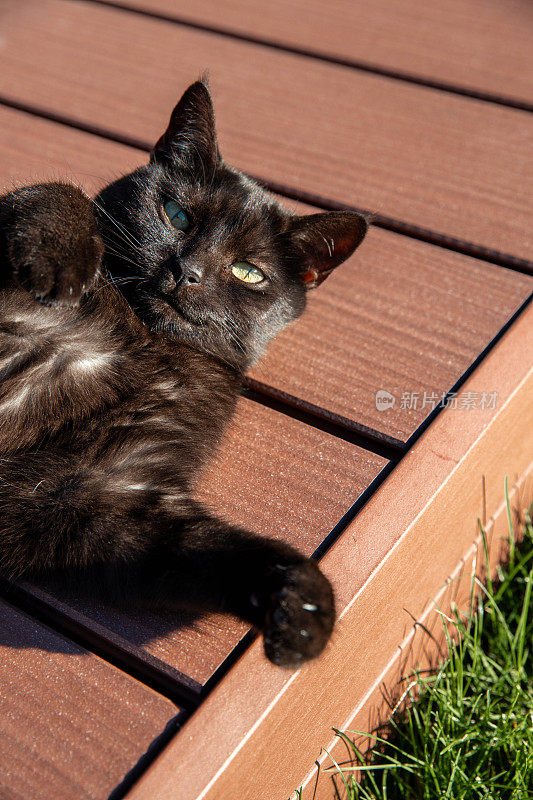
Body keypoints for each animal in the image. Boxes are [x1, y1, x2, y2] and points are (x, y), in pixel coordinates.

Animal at [0, 83, 366, 668]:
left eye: (248, 272)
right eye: (176, 215)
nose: (184, 272)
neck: (143, 337)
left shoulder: (95, 495)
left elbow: (207, 550)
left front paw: (304, 604)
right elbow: (55, 191)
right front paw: (61, 260)